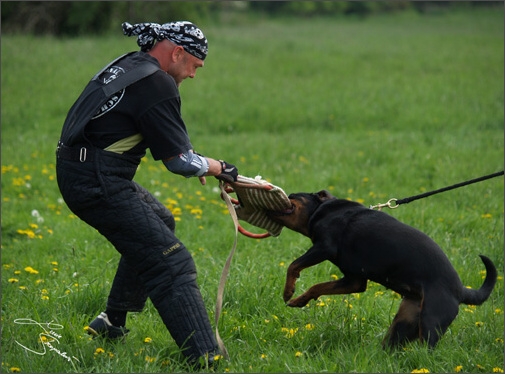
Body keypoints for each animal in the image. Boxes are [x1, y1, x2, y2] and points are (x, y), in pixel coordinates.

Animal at [268, 191, 496, 350]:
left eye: (292, 196)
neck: (322, 210)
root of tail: (460, 290)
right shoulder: (354, 281)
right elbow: (318, 287)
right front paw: (299, 300)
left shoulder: (324, 246)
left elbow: (293, 265)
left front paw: (288, 291)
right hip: (403, 322)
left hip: (431, 322)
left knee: (428, 349)